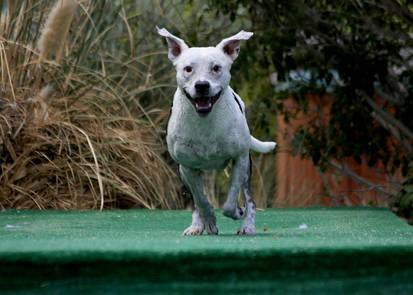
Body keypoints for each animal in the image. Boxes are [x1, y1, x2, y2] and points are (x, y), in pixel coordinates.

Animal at [158, 27, 276, 236]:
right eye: (188, 69)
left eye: (216, 68)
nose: (202, 85)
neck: (205, 121)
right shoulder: (187, 167)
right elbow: (201, 200)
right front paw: (209, 220)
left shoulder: (239, 159)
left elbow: (230, 203)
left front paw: (237, 211)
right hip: (183, 173)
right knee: (196, 202)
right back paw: (197, 225)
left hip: (247, 169)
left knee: (251, 201)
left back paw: (247, 225)